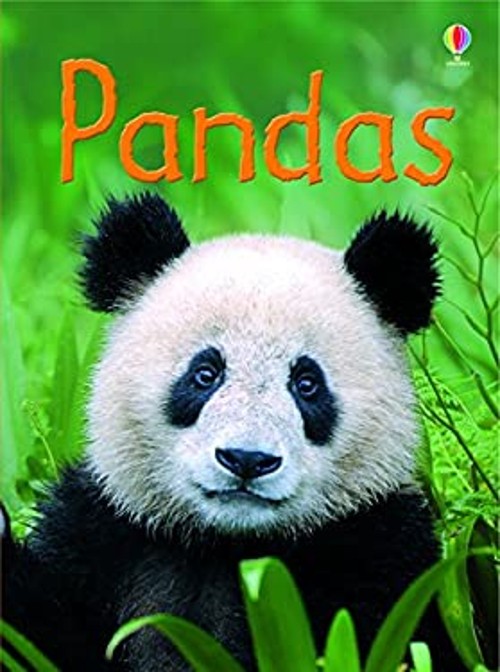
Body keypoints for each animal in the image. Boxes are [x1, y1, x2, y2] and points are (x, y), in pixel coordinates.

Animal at [2, 192, 466, 672]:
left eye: (306, 384)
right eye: (205, 374)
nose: (247, 459)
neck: (226, 545)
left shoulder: (382, 554)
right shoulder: (102, 532)